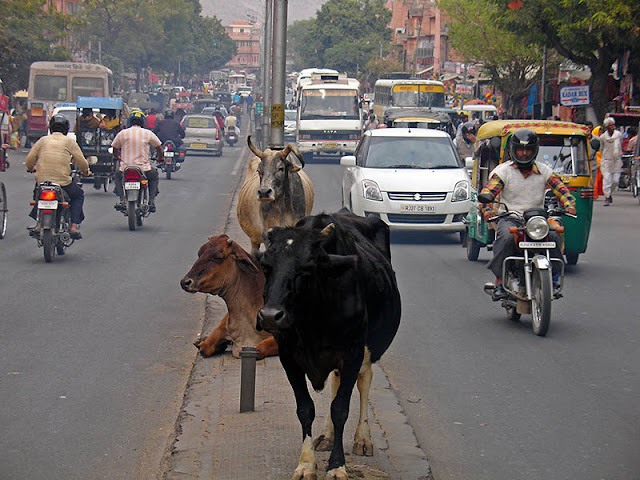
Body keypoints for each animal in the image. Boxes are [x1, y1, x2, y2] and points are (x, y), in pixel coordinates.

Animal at [256, 212, 400, 480]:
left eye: (307, 268)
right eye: (266, 266)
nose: (270, 316)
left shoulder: (353, 353)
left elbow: (340, 408)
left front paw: (336, 466)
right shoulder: (288, 357)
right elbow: (305, 409)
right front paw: (306, 464)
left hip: (367, 351)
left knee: (365, 381)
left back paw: (363, 439)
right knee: (336, 380)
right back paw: (326, 436)